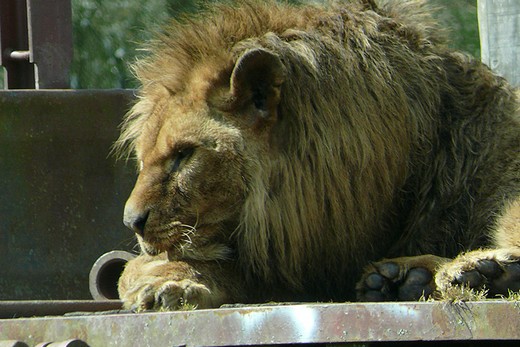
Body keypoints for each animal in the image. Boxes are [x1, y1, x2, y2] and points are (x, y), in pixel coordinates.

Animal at [115, 0, 520, 312]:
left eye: (184, 155)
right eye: (144, 159)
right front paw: (159, 280)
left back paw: (478, 271)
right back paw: (404, 279)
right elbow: (137, 268)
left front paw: (163, 283)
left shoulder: (314, 256)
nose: (132, 222)